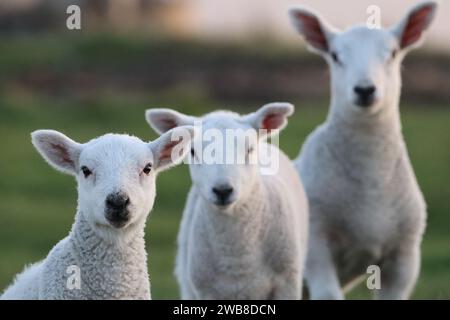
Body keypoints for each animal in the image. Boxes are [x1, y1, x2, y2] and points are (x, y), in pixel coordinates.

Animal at [147, 103, 310, 300]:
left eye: (249, 149)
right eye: (192, 152)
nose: (222, 190)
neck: (237, 254)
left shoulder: (287, 283)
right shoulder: (206, 291)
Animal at [288, 0, 440, 300]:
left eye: (392, 53)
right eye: (335, 56)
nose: (365, 90)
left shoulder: (404, 258)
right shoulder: (316, 243)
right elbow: (329, 295)